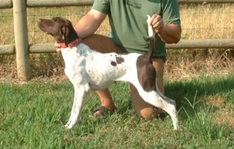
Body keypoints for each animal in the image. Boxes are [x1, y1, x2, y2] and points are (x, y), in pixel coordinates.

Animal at [37, 16, 178, 130]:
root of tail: (146, 58)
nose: (38, 20)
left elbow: (75, 111)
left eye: (53, 20)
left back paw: (176, 129)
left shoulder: (81, 88)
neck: (73, 49)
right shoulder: (80, 90)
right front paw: (70, 125)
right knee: (172, 102)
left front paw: (70, 127)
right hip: (152, 88)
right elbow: (75, 111)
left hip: (147, 92)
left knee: (170, 106)